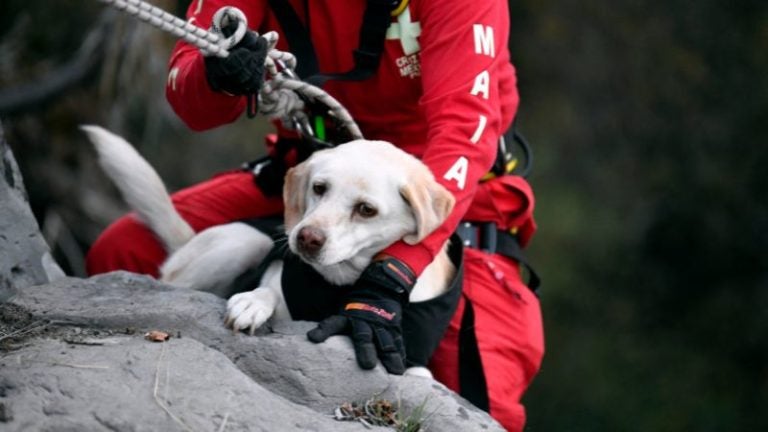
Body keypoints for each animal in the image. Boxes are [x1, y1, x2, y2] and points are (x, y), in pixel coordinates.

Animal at [82, 124, 460, 372]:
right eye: (319, 188)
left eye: (366, 209)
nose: (305, 238)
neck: (343, 283)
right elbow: (266, 291)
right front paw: (251, 303)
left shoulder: (416, 366)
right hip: (246, 241)